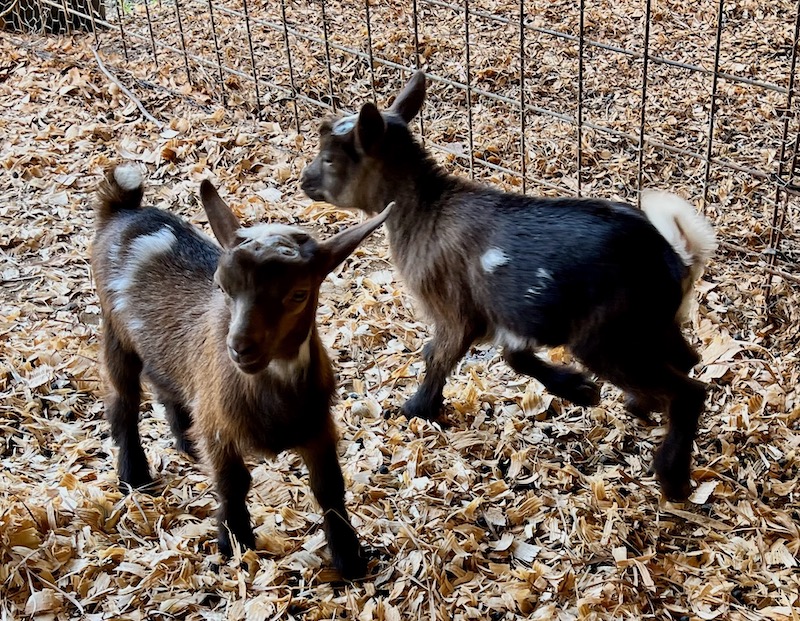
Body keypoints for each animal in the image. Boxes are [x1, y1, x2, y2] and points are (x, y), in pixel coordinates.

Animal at [92, 164, 391, 578]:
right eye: (221, 286)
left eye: (299, 293)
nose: (240, 348)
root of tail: (123, 209)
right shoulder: (220, 429)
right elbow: (233, 484)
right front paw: (234, 543)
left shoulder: (318, 426)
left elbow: (329, 486)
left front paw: (350, 559)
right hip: (115, 331)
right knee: (123, 400)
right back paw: (134, 477)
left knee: (166, 383)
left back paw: (186, 442)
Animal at [300, 71, 717, 501]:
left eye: (331, 159)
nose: (304, 181)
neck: (425, 212)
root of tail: (673, 259)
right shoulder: (506, 312)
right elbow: (513, 357)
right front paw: (579, 389)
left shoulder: (454, 310)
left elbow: (438, 355)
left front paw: (417, 408)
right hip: (654, 327)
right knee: (688, 359)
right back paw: (641, 404)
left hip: (610, 337)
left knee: (689, 392)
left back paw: (672, 477)